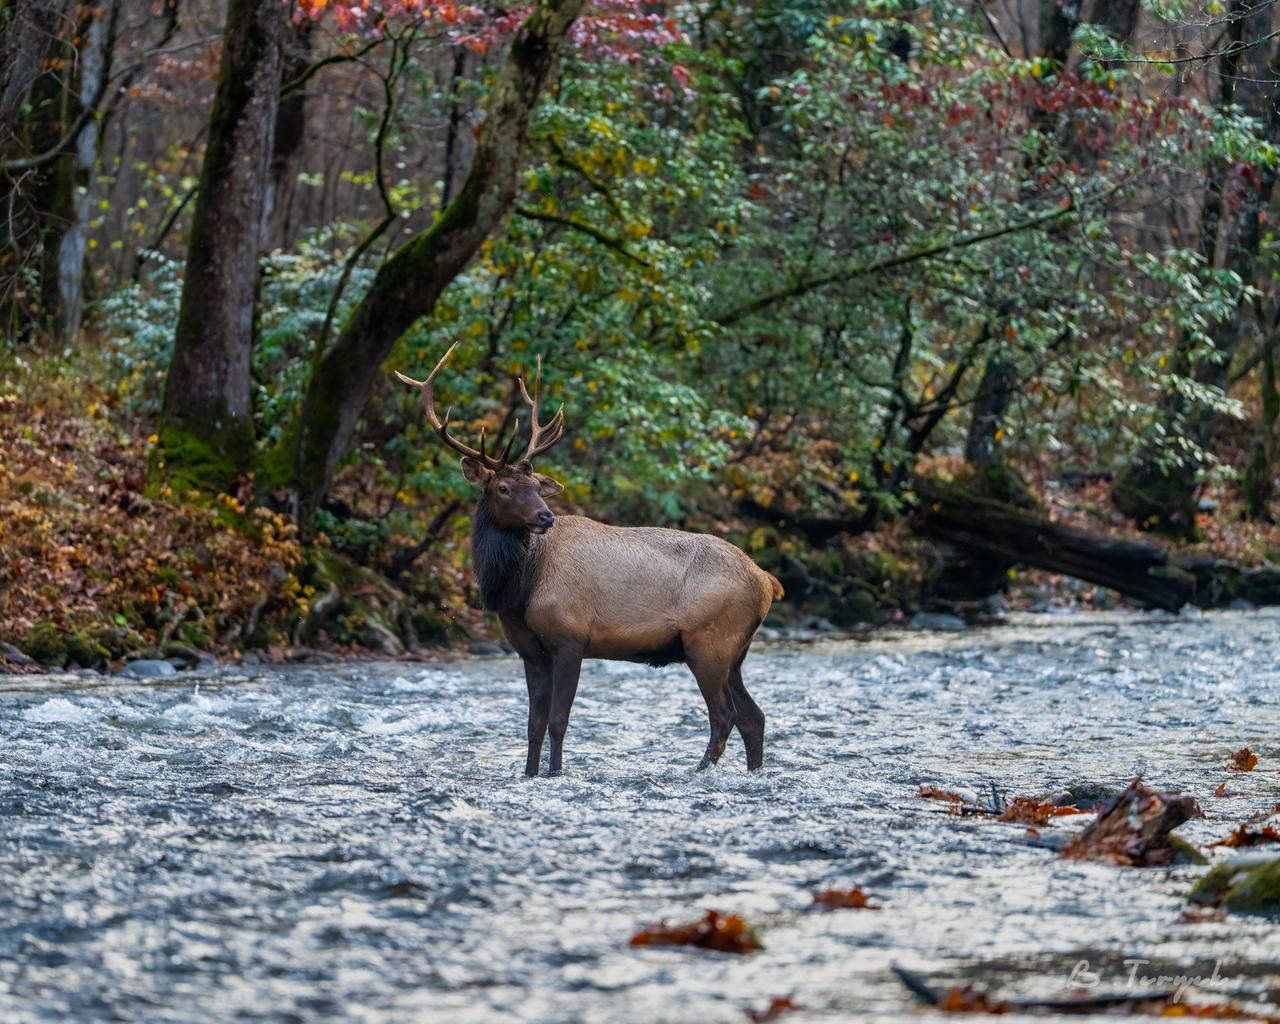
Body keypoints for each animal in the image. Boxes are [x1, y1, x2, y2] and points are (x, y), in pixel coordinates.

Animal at [395, 344, 783, 777]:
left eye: (537, 485)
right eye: (504, 487)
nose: (545, 516)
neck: (517, 589)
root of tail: (768, 581)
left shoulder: (571, 636)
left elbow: (558, 720)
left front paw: (555, 773)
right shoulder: (530, 650)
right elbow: (533, 723)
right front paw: (530, 774)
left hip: (708, 642)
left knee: (724, 716)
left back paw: (698, 771)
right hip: (735, 652)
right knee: (754, 717)